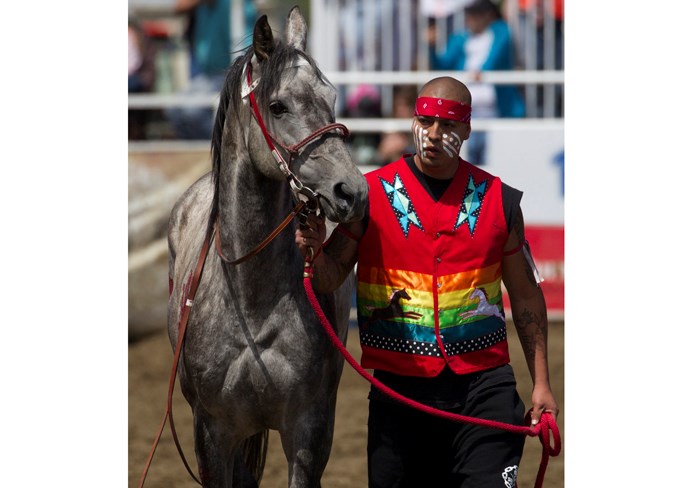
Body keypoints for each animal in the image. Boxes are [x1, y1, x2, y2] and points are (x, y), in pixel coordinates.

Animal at [167, 7, 370, 488]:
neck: (250, 298)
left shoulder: (309, 430)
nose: (352, 192)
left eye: (332, 97)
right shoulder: (213, 433)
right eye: (278, 106)